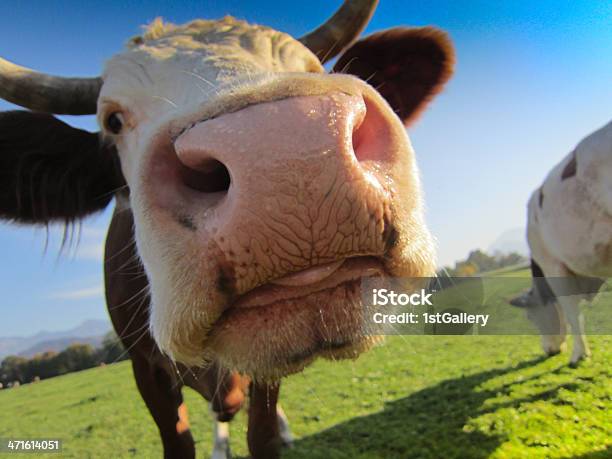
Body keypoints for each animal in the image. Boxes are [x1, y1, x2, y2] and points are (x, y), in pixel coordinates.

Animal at [0, 1, 454, 458]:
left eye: (313, 68)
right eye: (113, 120)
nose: (285, 150)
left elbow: (263, 435)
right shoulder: (145, 366)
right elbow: (179, 442)